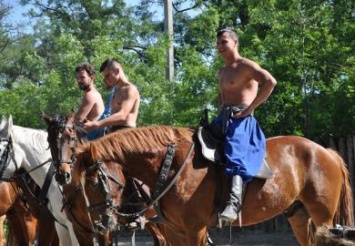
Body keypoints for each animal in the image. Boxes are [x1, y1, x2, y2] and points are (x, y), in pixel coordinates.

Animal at [73, 126, 355, 245]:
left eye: (95, 181)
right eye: (81, 187)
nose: (99, 225)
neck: (171, 164)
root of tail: (327, 152)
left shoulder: (195, 229)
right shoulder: (175, 231)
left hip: (323, 218)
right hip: (298, 215)